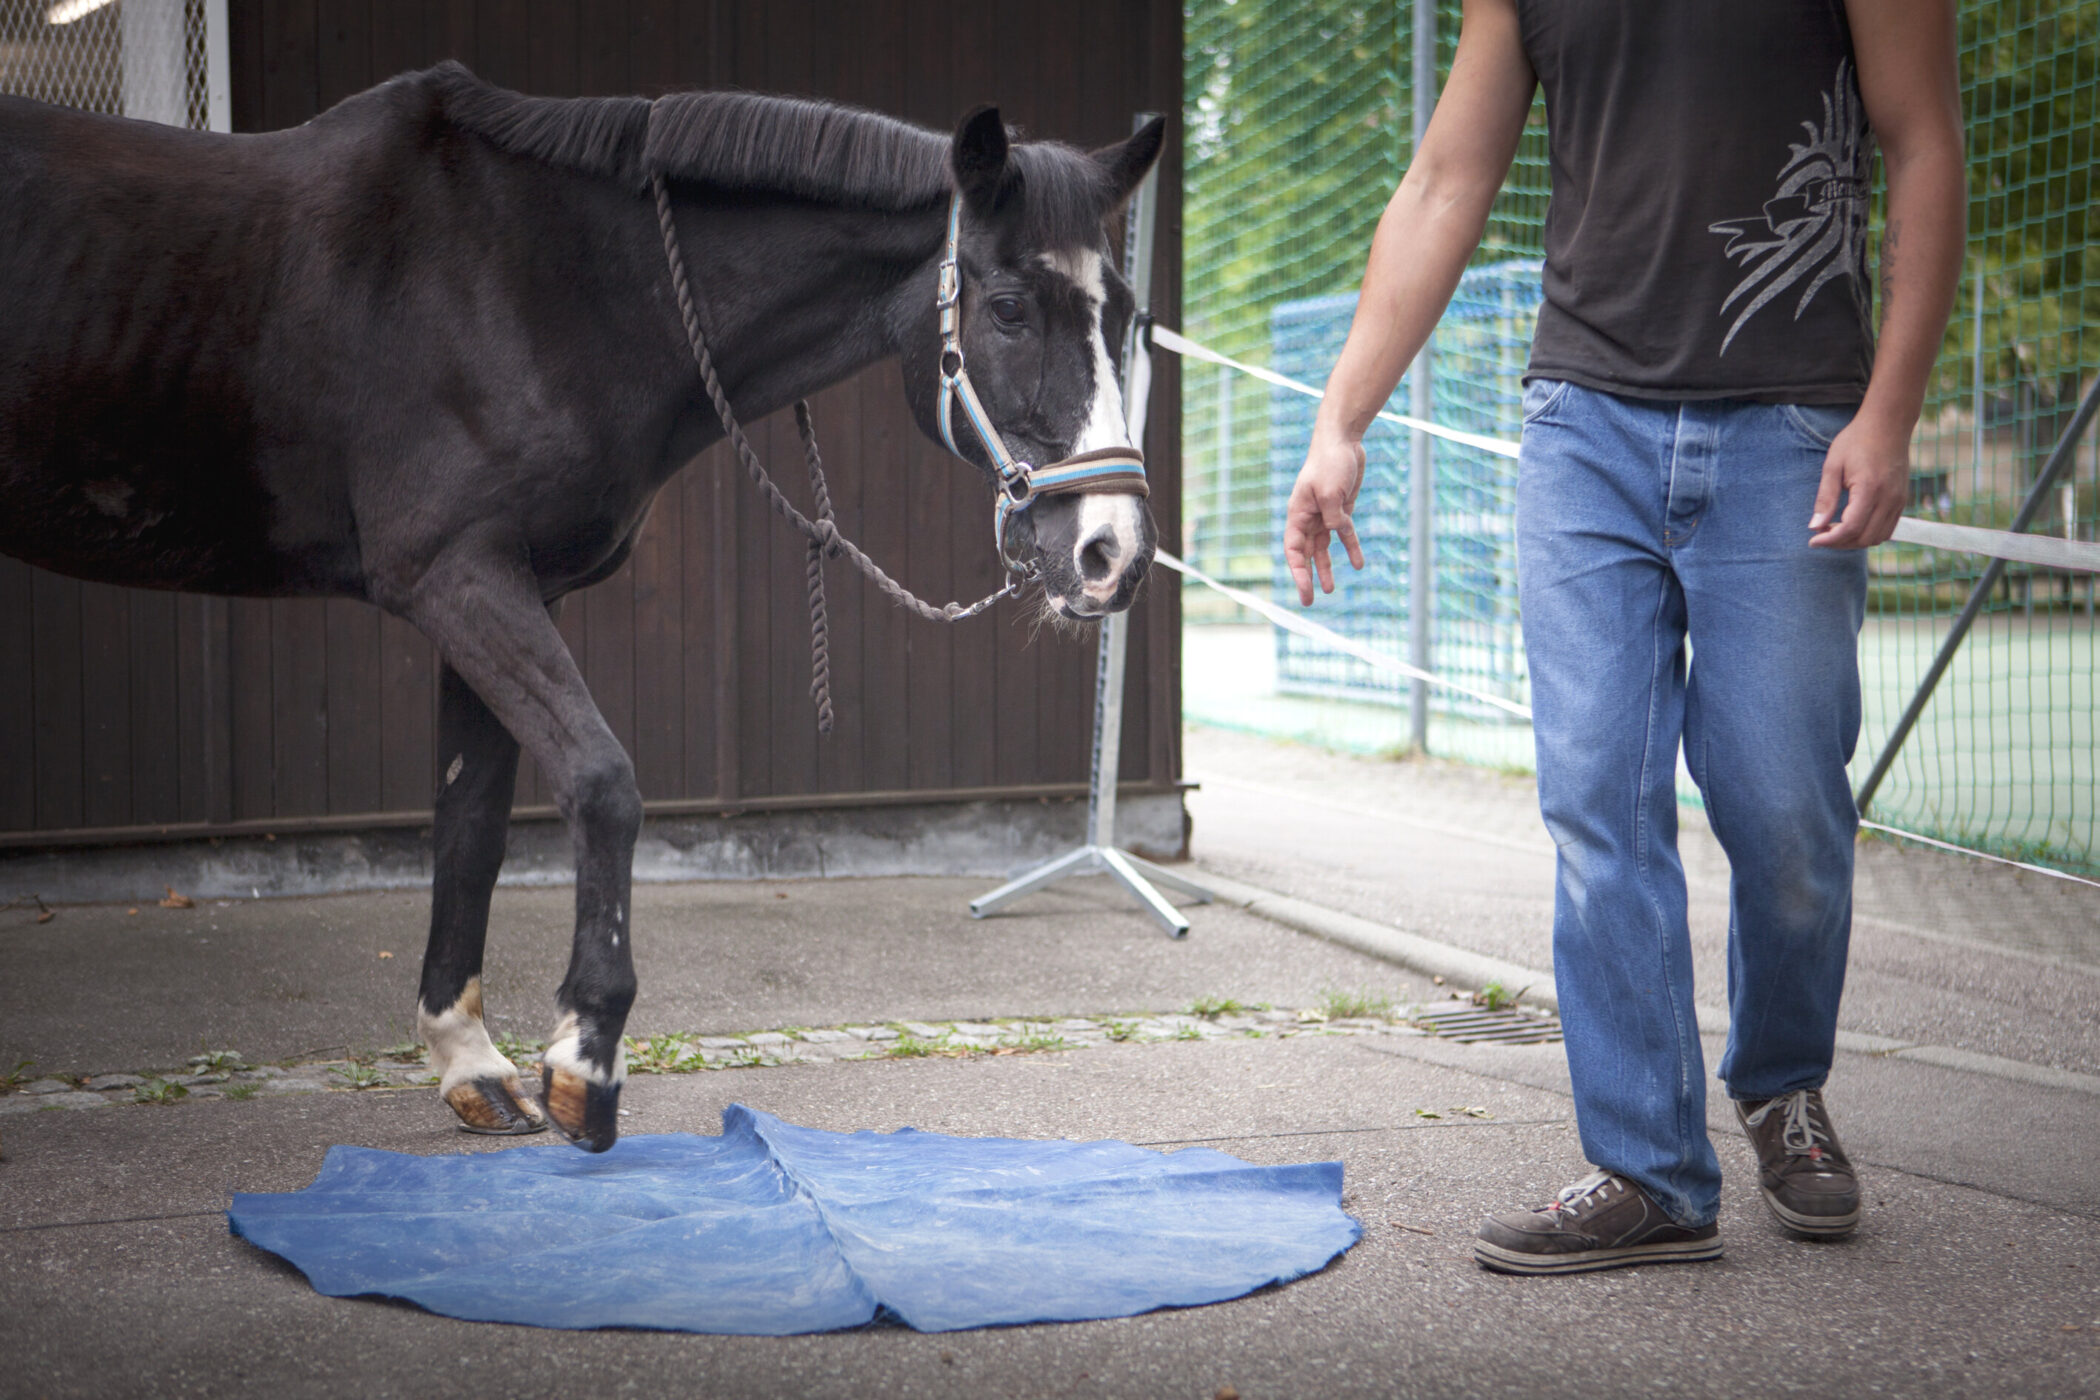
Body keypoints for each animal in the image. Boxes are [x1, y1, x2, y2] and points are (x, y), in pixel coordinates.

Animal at [0, 62, 1165, 1151]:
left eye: (1127, 318)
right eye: (1008, 309)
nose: (1114, 553)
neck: (530, 282)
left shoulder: (505, 591)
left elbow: (470, 826)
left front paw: (470, 1063)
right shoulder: (458, 577)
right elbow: (601, 783)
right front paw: (584, 1062)